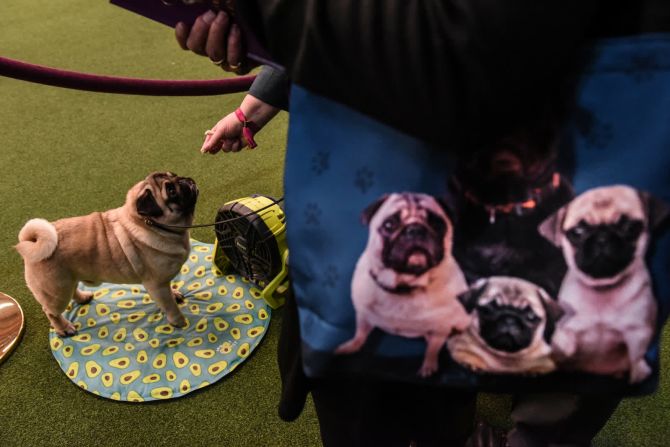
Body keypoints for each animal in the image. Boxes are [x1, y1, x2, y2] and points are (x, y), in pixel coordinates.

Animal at [15, 172, 198, 336]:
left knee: (73, 290)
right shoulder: (157, 284)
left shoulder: (162, 284)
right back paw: (63, 328)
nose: (186, 180)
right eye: (171, 191)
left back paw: (83, 298)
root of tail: (30, 242)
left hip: (67, 281)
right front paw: (179, 322)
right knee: (51, 312)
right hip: (56, 291)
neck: (147, 224)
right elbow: (170, 306)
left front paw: (174, 294)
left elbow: (169, 295)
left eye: (174, 175)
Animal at [336, 192, 472, 378]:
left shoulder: (441, 328)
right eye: (389, 224)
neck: (405, 286)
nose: (415, 229)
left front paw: (429, 366)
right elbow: (360, 333)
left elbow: (433, 349)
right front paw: (351, 346)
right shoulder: (363, 314)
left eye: (437, 224)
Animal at [544, 186, 668, 384]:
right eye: (578, 232)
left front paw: (638, 375)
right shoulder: (566, 330)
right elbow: (564, 344)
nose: (602, 237)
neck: (602, 289)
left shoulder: (637, 334)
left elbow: (636, 358)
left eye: (628, 227)